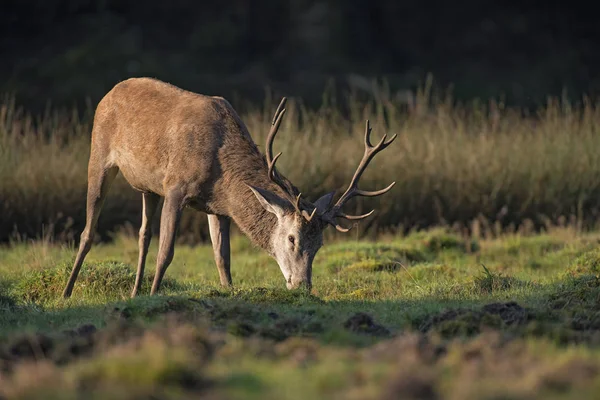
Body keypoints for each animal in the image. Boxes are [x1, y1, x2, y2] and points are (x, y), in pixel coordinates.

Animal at [61, 77, 396, 296]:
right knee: (88, 231)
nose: (303, 286)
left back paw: (134, 293)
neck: (222, 171)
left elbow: (222, 258)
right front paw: (156, 295)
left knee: (143, 234)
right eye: (292, 238)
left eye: (320, 244)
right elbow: (167, 252)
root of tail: (109, 91)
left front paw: (227, 291)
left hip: (148, 188)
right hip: (99, 155)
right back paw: (67, 292)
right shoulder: (176, 187)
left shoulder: (217, 207)